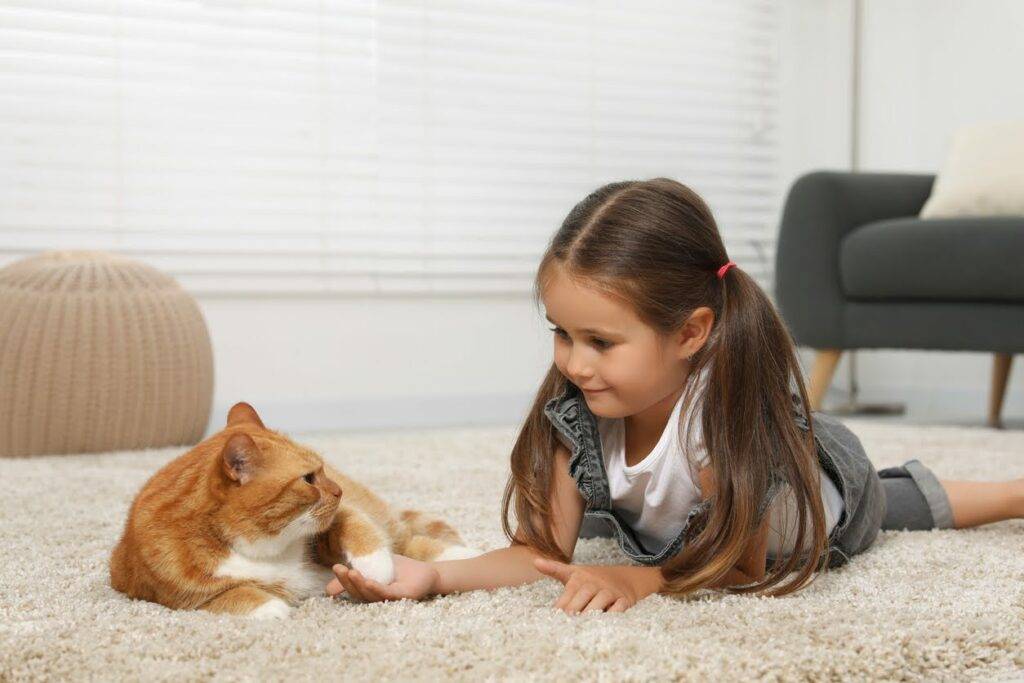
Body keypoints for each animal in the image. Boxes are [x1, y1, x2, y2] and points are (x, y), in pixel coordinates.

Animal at [110, 401, 477, 618]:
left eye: (322, 470)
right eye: (308, 478)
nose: (338, 490)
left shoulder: (336, 522)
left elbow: (359, 528)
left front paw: (375, 567)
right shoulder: (180, 597)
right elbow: (236, 596)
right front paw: (275, 607)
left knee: (406, 538)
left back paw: (458, 554)